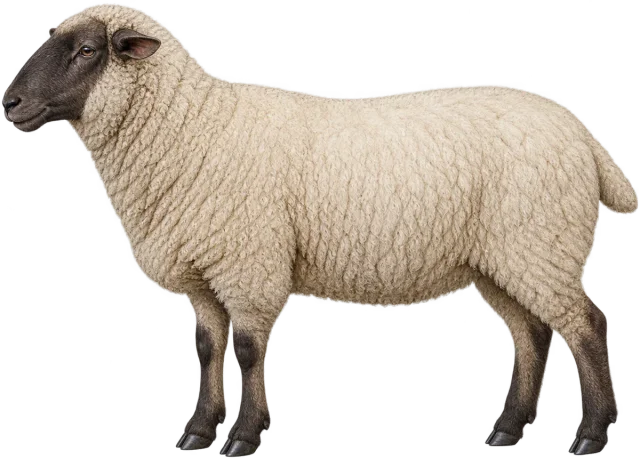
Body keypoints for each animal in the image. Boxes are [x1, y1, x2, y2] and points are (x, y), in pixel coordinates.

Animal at [2, 2, 637, 457]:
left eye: (87, 50)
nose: (9, 103)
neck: (193, 127)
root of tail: (586, 139)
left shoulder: (248, 263)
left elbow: (248, 349)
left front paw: (242, 439)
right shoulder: (206, 276)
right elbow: (207, 348)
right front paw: (198, 434)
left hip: (542, 242)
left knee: (585, 327)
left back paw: (591, 436)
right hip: (506, 259)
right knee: (532, 335)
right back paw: (507, 429)